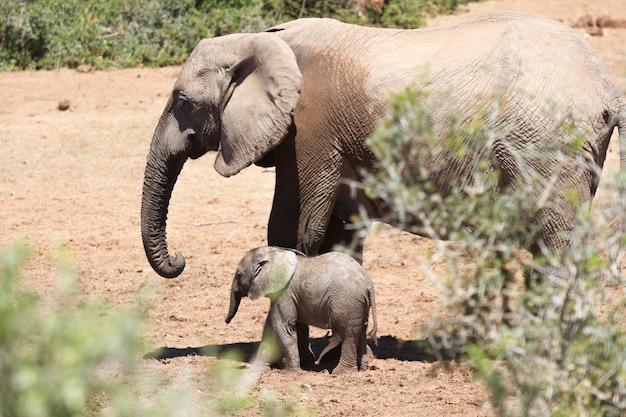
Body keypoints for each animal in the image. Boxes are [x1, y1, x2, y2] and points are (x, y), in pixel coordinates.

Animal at [139, 10, 620, 276]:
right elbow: (324, 226)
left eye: (182, 103)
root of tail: (607, 87)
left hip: (546, 145)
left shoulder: (312, 127)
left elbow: (302, 227)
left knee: (557, 241)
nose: (180, 259)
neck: (262, 39)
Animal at [224, 245, 376, 372]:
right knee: (361, 330)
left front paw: (292, 372)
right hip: (359, 304)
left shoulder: (285, 292)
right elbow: (272, 326)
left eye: (238, 274)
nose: (226, 322)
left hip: (347, 303)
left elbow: (283, 326)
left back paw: (340, 372)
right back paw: (363, 369)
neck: (275, 253)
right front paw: (262, 368)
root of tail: (368, 284)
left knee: (347, 334)